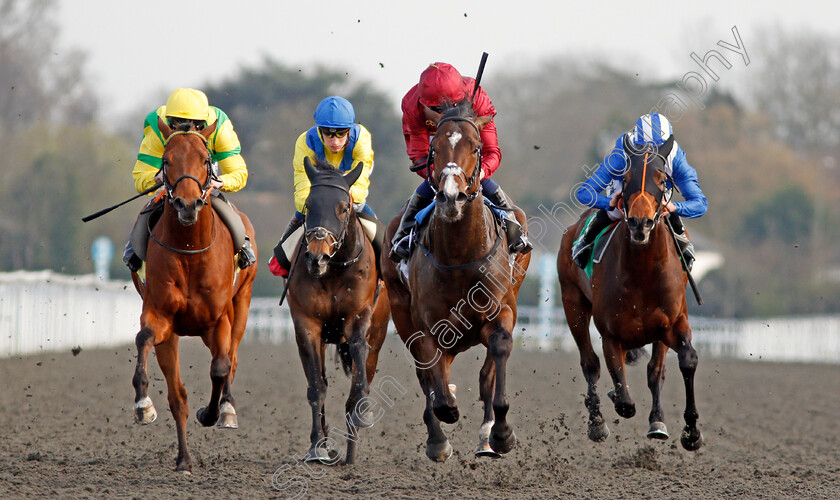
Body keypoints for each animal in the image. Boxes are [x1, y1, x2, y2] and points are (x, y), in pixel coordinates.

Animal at [128, 118, 258, 472]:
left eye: (205, 159)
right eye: (166, 160)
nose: (187, 204)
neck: (189, 249)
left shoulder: (218, 320)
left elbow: (220, 368)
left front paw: (212, 413)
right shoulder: (160, 316)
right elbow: (144, 340)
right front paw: (143, 404)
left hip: (241, 305)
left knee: (232, 360)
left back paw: (226, 409)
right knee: (178, 395)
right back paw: (184, 457)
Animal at [288, 157, 392, 464]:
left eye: (344, 207)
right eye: (309, 205)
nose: (317, 257)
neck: (334, 270)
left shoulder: (359, 319)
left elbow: (358, 378)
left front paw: (361, 415)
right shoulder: (307, 326)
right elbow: (316, 387)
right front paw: (317, 446)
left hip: (378, 335)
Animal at [382, 100, 532, 460]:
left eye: (476, 147)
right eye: (434, 148)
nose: (451, 197)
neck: (461, 256)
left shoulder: (502, 310)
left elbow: (498, 352)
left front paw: (501, 432)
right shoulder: (426, 324)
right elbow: (433, 375)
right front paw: (444, 413)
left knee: (485, 372)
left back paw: (487, 436)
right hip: (400, 309)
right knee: (426, 371)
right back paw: (437, 437)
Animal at [556, 139, 704, 452]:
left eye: (662, 180)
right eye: (624, 179)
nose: (640, 223)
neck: (642, 273)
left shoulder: (673, 322)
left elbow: (686, 360)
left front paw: (691, 432)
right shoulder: (611, 334)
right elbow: (624, 401)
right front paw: (612, 398)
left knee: (655, 370)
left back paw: (657, 422)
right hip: (572, 304)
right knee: (590, 363)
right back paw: (597, 423)